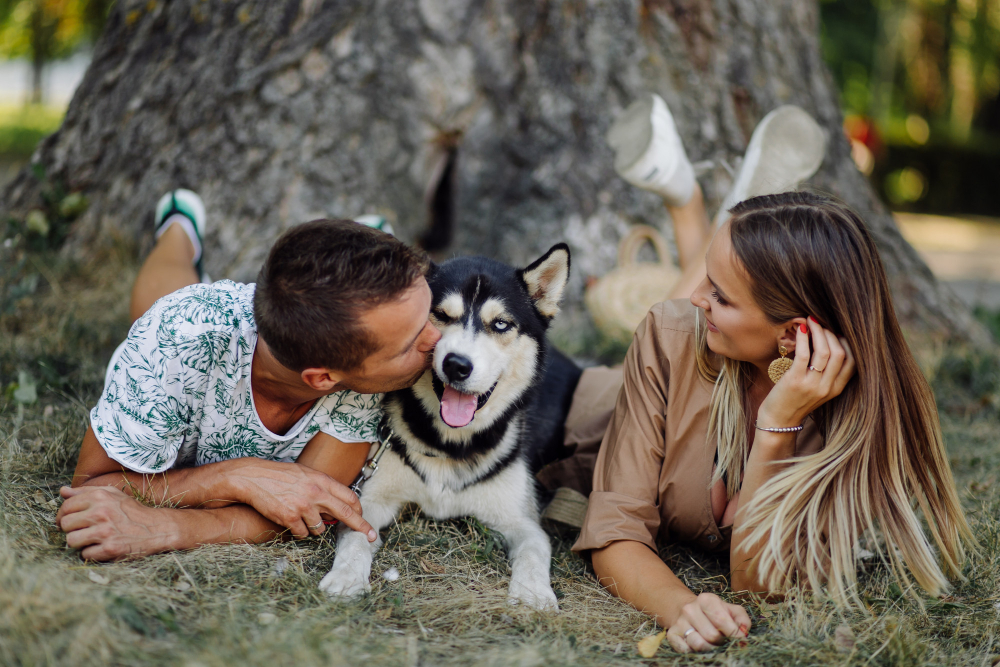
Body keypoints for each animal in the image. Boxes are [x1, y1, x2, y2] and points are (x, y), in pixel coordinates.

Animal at [320, 244, 584, 612]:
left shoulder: (522, 520)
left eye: (500, 324)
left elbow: (535, 551)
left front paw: (532, 595)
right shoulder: (370, 499)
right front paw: (345, 579)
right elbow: (357, 536)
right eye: (441, 315)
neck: (451, 444)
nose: (457, 364)